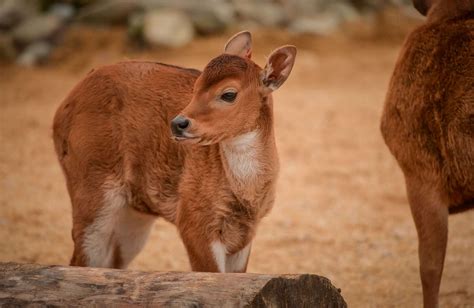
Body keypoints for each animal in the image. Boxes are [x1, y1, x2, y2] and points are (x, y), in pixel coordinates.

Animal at [52, 31, 296, 272]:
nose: (178, 123)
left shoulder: (246, 231)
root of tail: (62, 110)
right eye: (196, 86)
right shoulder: (193, 220)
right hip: (92, 188)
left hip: (132, 215)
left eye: (229, 94)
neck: (245, 194)